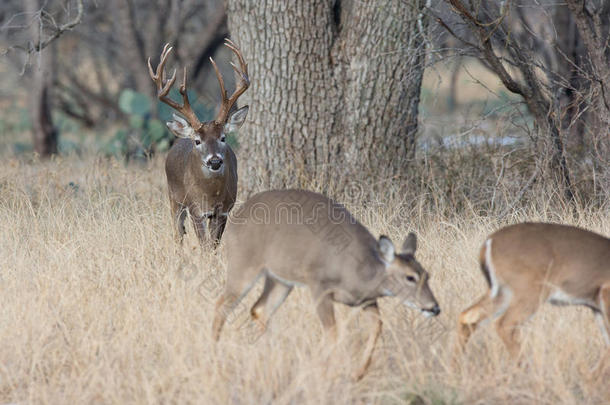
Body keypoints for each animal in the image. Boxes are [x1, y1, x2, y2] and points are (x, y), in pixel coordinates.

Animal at [148, 39, 249, 246]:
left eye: (223, 137)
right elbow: (204, 245)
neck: (211, 195)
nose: (215, 161)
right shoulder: (196, 209)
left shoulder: (223, 211)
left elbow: (213, 245)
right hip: (174, 198)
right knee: (177, 234)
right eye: (197, 141)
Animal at [211, 189, 440, 378]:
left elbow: (377, 325)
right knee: (221, 305)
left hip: (280, 279)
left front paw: (358, 373)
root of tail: (235, 220)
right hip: (244, 265)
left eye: (427, 275)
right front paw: (327, 371)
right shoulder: (319, 284)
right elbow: (332, 332)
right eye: (410, 277)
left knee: (260, 309)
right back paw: (216, 355)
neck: (357, 271)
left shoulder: (366, 299)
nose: (434, 307)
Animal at [454, 224, 608, 360]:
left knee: (468, 315)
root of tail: (489, 243)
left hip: (502, 292)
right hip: (529, 291)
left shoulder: (597, 307)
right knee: (504, 324)